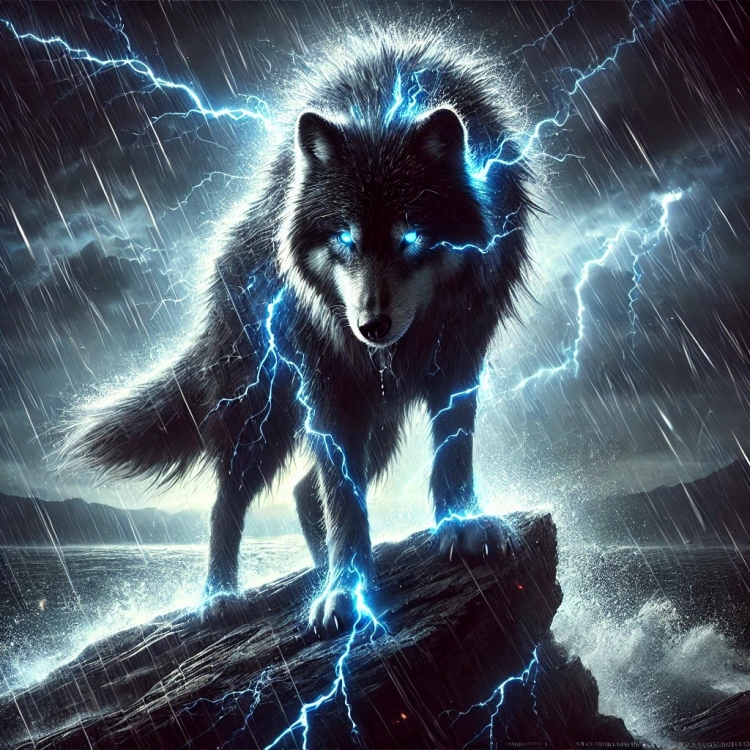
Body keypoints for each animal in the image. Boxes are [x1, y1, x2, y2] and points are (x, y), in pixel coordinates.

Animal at [64, 31, 533, 637]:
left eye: (409, 239)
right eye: (345, 240)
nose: (371, 327)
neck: (381, 105)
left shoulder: (460, 353)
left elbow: (452, 451)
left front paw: (462, 527)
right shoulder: (327, 381)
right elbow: (342, 500)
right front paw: (344, 592)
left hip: (376, 424)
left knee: (305, 494)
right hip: (260, 411)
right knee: (229, 499)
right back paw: (221, 597)